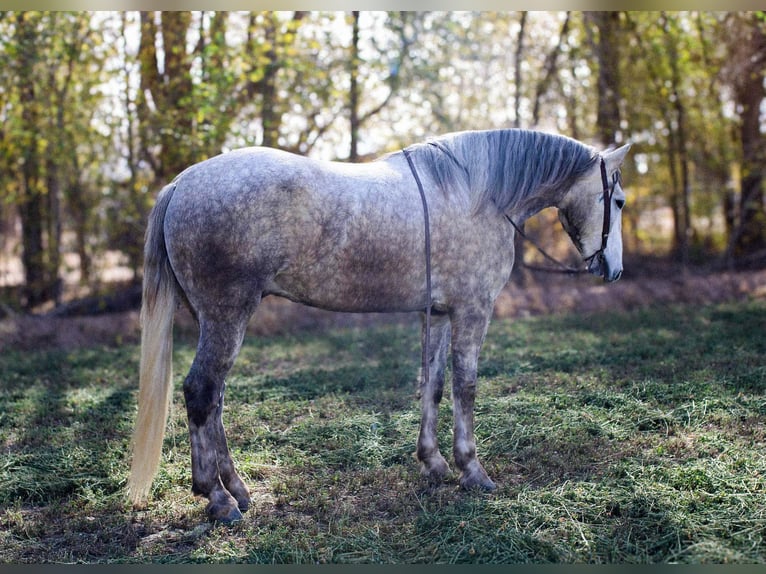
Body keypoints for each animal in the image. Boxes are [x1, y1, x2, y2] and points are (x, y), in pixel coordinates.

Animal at [128, 128, 631, 522]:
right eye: (620, 201)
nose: (614, 270)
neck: (478, 196)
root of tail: (182, 184)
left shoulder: (439, 313)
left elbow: (433, 383)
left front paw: (433, 464)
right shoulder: (472, 310)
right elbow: (466, 387)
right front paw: (472, 470)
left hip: (217, 322)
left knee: (215, 402)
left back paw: (237, 490)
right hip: (226, 317)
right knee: (201, 393)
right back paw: (217, 498)